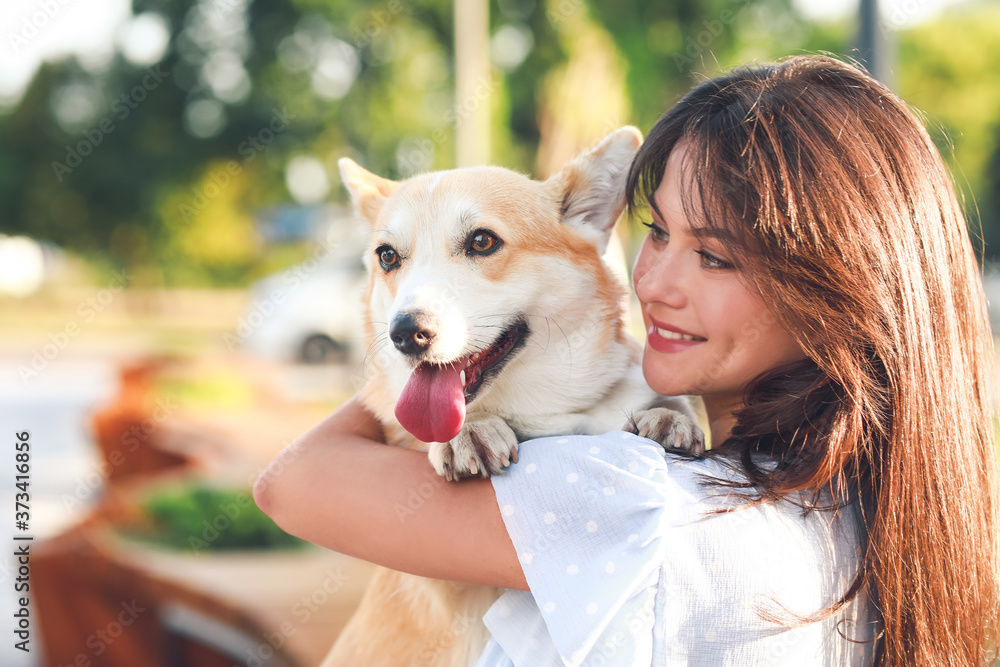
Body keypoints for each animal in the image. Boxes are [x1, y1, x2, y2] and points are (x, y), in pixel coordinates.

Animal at [324, 126, 700, 667]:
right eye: (388, 256)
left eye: (483, 241)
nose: (405, 334)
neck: (536, 412)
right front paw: (468, 433)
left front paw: (670, 416)